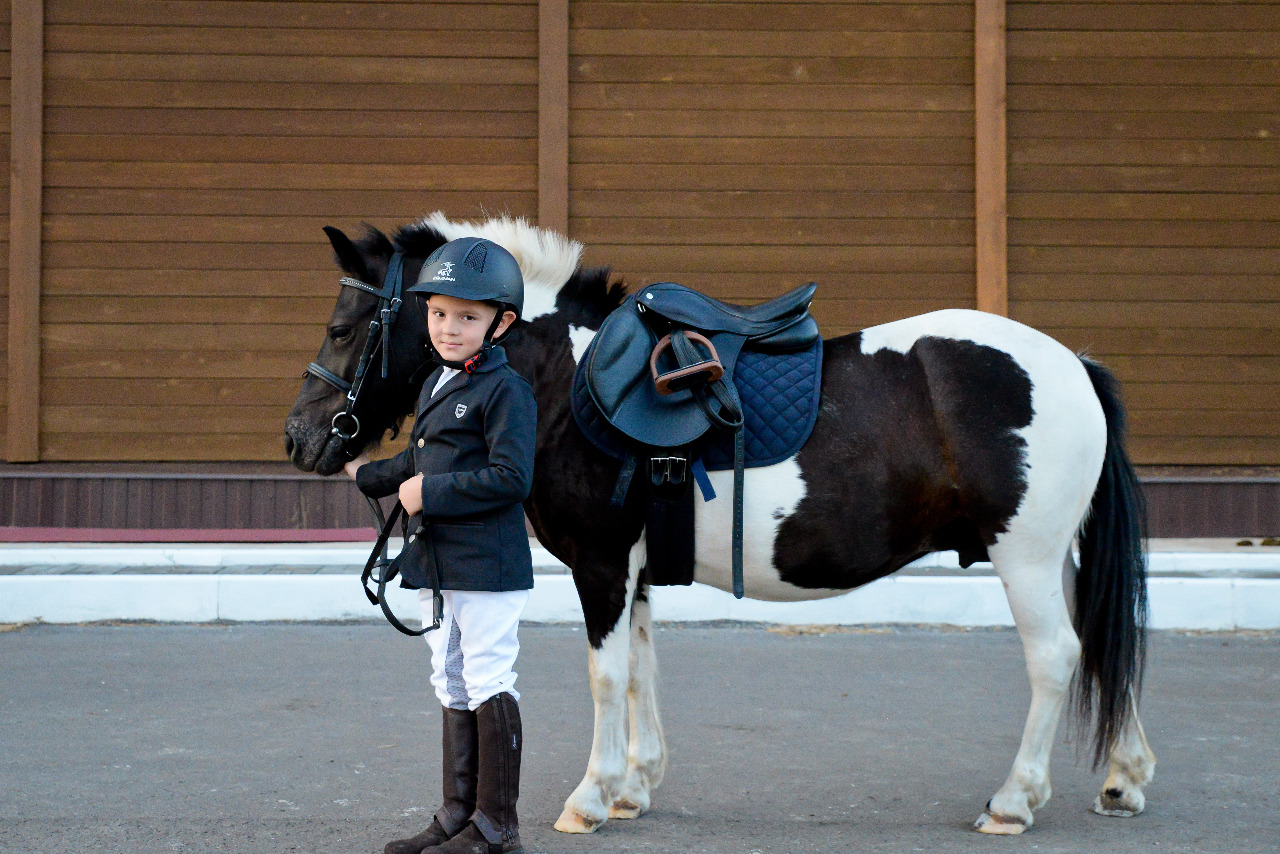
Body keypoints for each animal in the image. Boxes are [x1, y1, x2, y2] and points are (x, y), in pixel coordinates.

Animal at [285, 212, 1157, 834]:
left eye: (343, 327)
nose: (300, 438)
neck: (564, 380)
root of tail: (1073, 364)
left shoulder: (600, 564)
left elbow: (606, 675)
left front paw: (590, 797)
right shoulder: (634, 569)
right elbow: (642, 668)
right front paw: (634, 786)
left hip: (1027, 558)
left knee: (1056, 656)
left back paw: (1013, 800)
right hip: (1059, 558)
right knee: (1099, 642)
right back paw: (1124, 777)